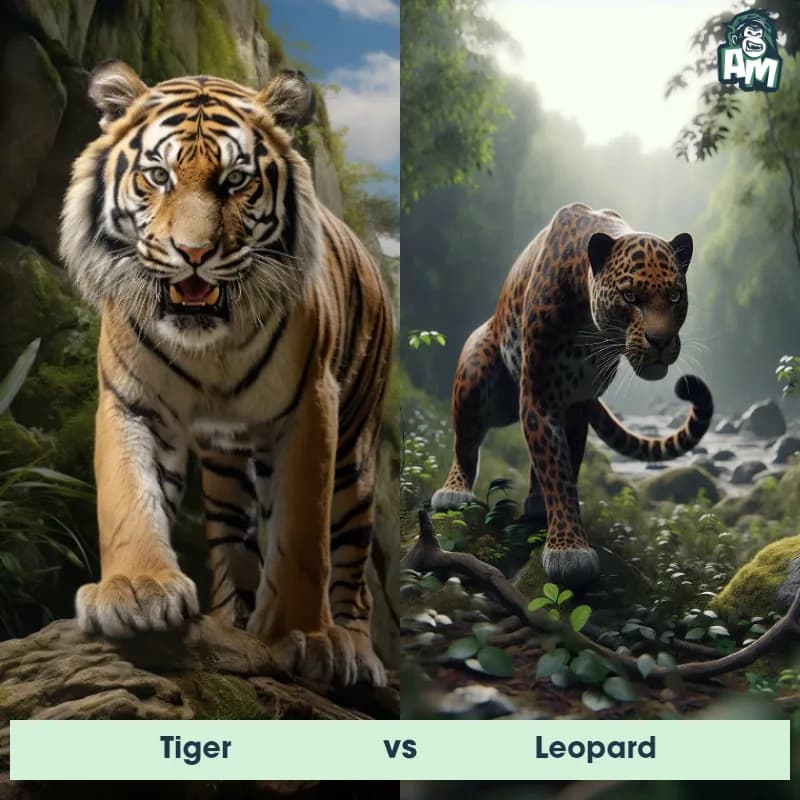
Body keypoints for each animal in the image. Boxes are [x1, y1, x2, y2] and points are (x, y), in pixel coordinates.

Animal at [59, 60, 393, 686]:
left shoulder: (310, 407)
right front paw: (135, 591)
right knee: (235, 543)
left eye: (236, 181)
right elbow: (127, 496)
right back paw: (233, 620)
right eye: (158, 176)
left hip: (356, 456)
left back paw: (356, 650)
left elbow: (303, 533)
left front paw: (304, 635)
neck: (206, 345)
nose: (193, 253)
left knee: (353, 566)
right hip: (225, 468)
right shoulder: (133, 401)